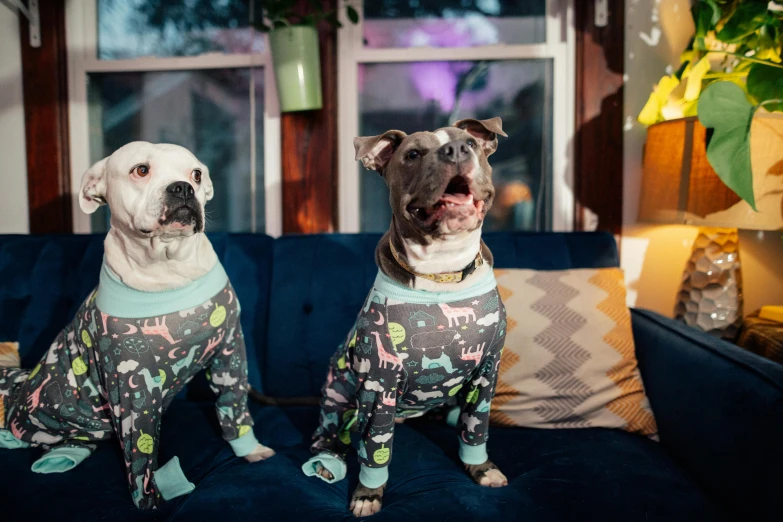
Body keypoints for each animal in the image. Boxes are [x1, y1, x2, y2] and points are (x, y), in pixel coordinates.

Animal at [0, 142, 276, 508]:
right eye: (141, 170)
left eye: (196, 174)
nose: (182, 187)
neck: (168, 270)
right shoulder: (130, 392)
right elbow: (140, 453)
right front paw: (150, 500)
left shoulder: (229, 352)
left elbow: (233, 404)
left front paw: (250, 449)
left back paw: (61, 457)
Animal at [304, 117, 512, 512]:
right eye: (413, 154)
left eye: (470, 143)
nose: (456, 150)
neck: (443, 272)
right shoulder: (378, 386)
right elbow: (374, 449)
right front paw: (368, 493)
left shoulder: (486, 371)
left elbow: (476, 427)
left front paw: (481, 468)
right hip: (338, 393)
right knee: (331, 431)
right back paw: (326, 461)